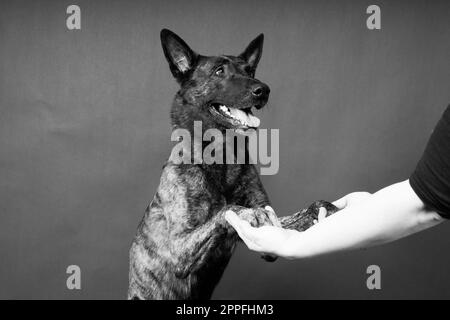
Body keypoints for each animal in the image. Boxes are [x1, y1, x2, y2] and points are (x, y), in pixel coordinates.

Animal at [127, 30, 338, 300]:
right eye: (219, 71)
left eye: (250, 70)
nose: (263, 90)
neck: (222, 156)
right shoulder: (179, 249)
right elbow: (228, 210)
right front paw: (249, 213)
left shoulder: (271, 232)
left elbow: (287, 219)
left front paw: (321, 207)